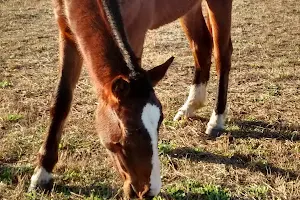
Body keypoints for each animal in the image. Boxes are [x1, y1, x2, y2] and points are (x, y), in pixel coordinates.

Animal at [29, 0, 233, 198]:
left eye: (159, 122)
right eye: (127, 130)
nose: (148, 191)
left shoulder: (136, 33)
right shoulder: (68, 34)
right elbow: (61, 101)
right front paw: (42, 173)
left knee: (222, 55)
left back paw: (216, 119)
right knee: (201, 45)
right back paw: (190, 106)